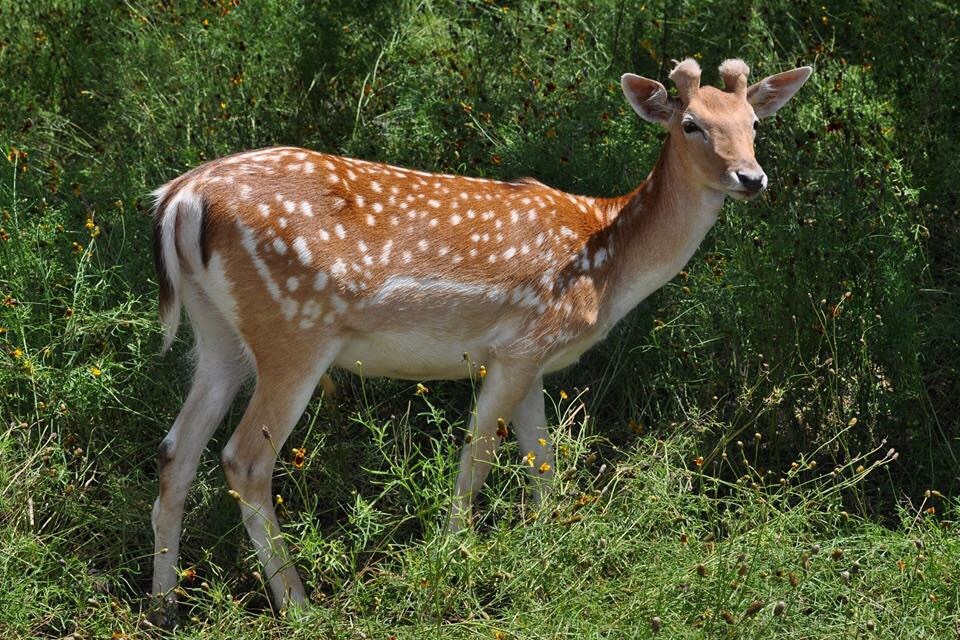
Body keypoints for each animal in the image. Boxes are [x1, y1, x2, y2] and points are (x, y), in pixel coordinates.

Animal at [148, 57, 811, 618]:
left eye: (754, 123)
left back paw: (163, 606)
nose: (751, 177)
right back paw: (302, 607)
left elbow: (543, 464)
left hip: (218, 337)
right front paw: (452, 567)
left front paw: (553, 553)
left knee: (176, 450)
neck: (608, 258)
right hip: (294, 330)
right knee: (243, 459)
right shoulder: (518, 345)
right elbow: (478, 460)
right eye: (692, 124)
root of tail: (181, 198)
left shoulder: (535, 361)